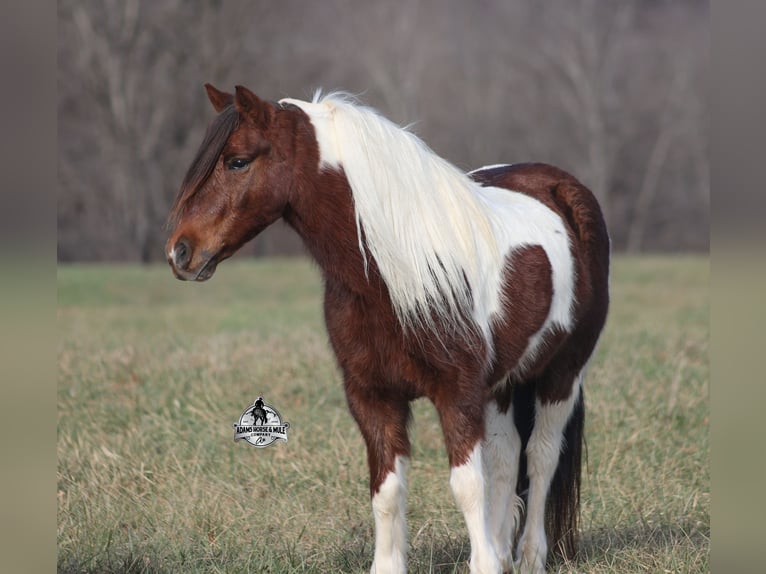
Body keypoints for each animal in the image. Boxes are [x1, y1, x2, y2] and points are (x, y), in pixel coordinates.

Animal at [165, 84, 610, 574]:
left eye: (238, 161)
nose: (180, 252)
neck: (392, 271)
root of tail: (559, 184)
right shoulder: (372, 396)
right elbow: (387, 491)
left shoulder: (457, 395)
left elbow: (467, 486)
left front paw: (485, 562)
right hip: (502, 384)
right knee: (507, 455)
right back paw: (502, 551)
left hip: (562, 373)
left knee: (541, 455)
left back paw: (529, 556)